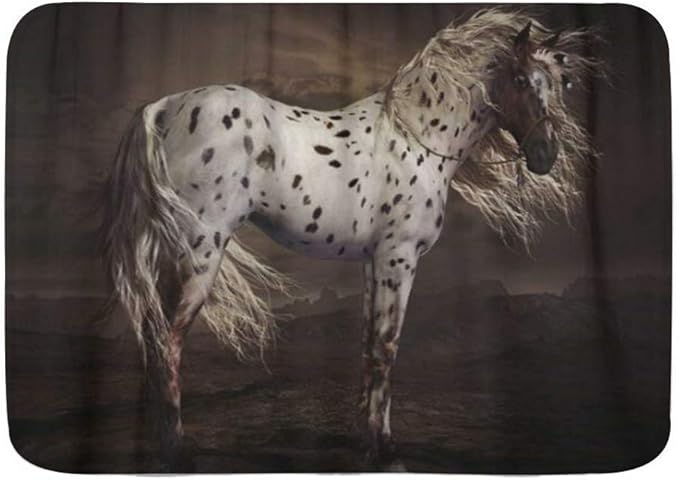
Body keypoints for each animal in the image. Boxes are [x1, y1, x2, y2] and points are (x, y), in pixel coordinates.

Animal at [102, 9, 599, 471]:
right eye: (520, 78)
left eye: (563, 83)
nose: (545, 154)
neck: (416, 138)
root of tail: (166, 106)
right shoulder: (399, 259)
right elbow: (386, 348)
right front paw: (387, 451)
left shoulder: (371, 263)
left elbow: (367, 348)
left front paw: (370, 441)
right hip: (200, 252)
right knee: (167, 342)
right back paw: (177, 454)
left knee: (152, 337)